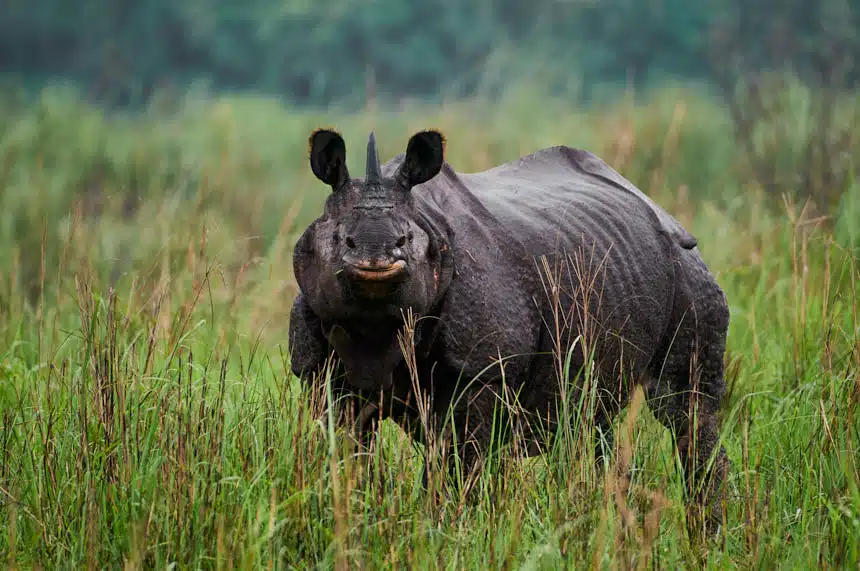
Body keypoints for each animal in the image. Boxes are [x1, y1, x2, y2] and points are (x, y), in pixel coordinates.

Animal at [288, 128, 730, 526]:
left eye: (406, 240)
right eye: (340, 240)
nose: (376, 256)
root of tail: (653, 204)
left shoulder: (482, 371)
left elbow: (457, 469)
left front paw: (447, 532)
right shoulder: (323, 374)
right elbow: (346, 455)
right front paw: (353, 519)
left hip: (686, 264)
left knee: (686, 408)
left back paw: (706, 534)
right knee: (593, 420)